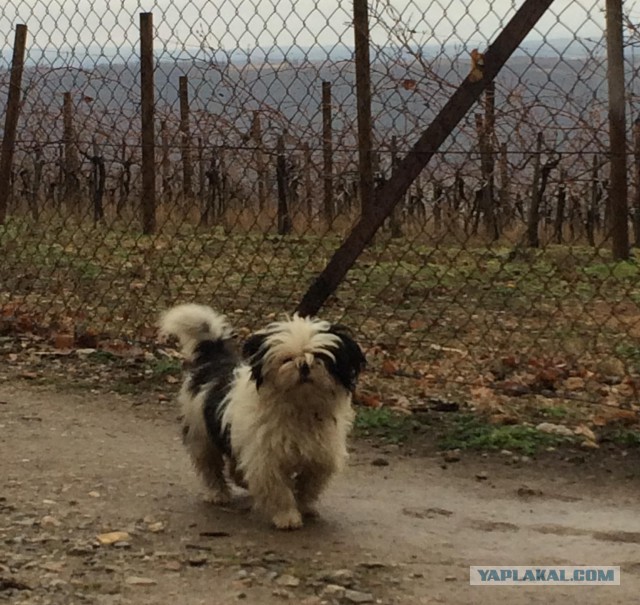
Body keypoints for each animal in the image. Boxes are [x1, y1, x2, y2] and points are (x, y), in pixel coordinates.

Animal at [158, 304, 364, 528]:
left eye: (321, 358)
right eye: (287, 359)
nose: (304, 365)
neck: (300, 406)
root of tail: (215, 359)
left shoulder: (321, 455)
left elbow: (309, 484)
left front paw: (304, 506)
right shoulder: (266, 459)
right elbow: (279, 490)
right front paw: (287, 517)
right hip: (201, 434)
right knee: (210, 466)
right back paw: (217, 494)